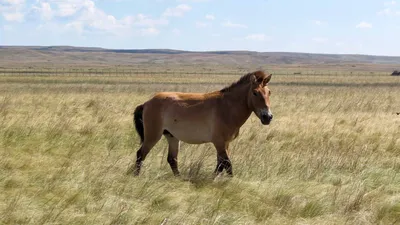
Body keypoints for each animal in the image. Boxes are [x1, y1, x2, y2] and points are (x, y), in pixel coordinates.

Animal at [130, 70, 274, 178]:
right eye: (255, 93)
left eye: (269, 92)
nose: (267, 117)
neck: (227, 107)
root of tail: (146, 103)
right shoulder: (219, 142)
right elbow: (227, 164)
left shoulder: (225, 143)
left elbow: (221, 164)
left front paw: (214, 178)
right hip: (153, 136)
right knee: (141, 154)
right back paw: (136, 176)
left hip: (172, 137)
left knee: (172, 159)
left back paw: (180, 178)